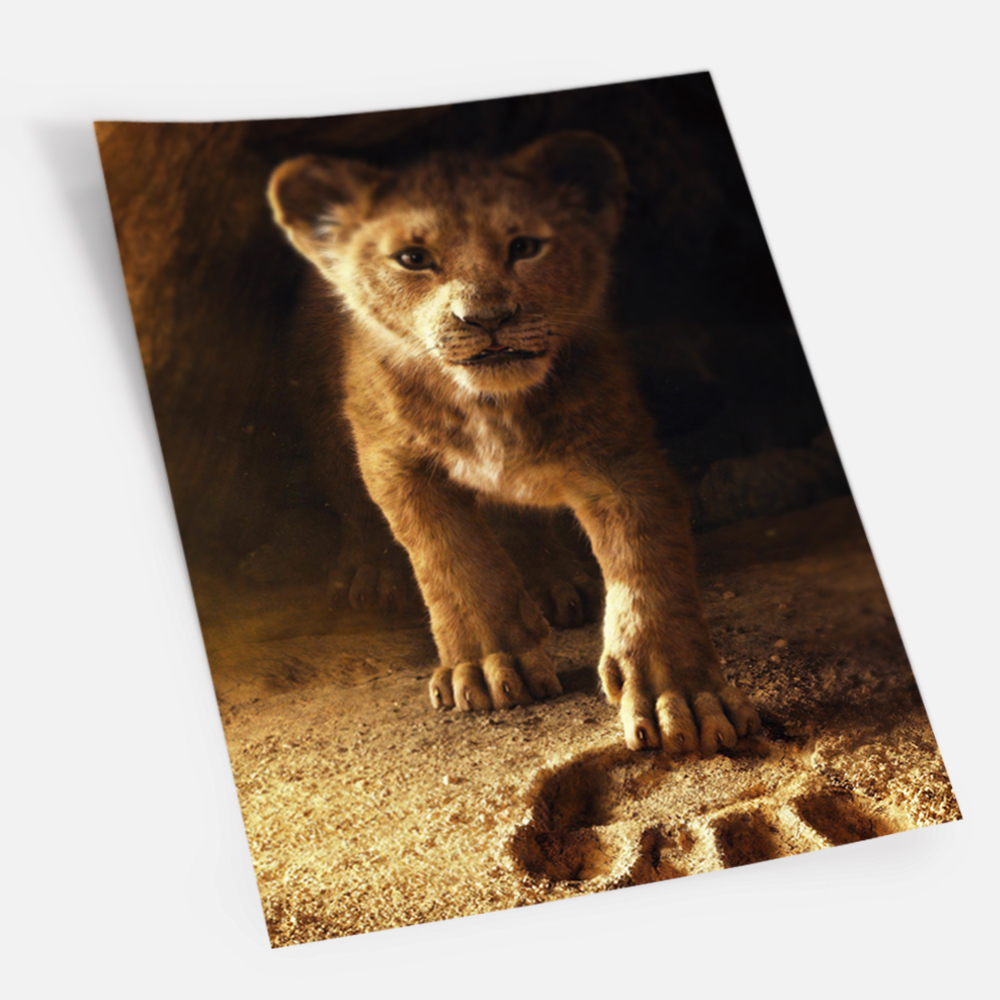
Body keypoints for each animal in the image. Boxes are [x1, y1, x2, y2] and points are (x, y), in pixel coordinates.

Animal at [267, 131, 760, 753]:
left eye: (525, 246)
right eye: (413, 258)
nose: (487, 318)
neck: (490, 405)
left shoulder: (618, 455)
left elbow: (649, 566)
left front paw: (684, 697)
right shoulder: (394, 459)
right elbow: (450, 557)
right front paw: (487, 664)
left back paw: (553, 581)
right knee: (354, 503)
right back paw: (371, 577)